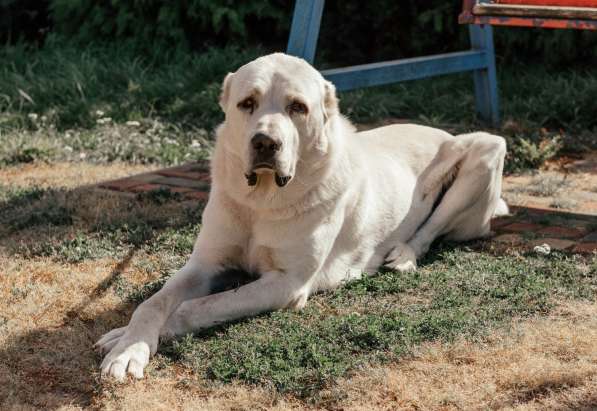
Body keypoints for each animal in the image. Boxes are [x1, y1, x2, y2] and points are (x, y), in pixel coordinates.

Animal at [95, 53, 506, 382]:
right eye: (247, 103)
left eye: (298, 107)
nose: (265, 143)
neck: (261, 200)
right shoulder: (205, 265)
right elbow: (154, 302)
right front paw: (128, 343)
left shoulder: (286, 283)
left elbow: (196, 306)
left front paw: (136, 338)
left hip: (486, 148)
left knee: (429, 230)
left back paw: (403, 255)